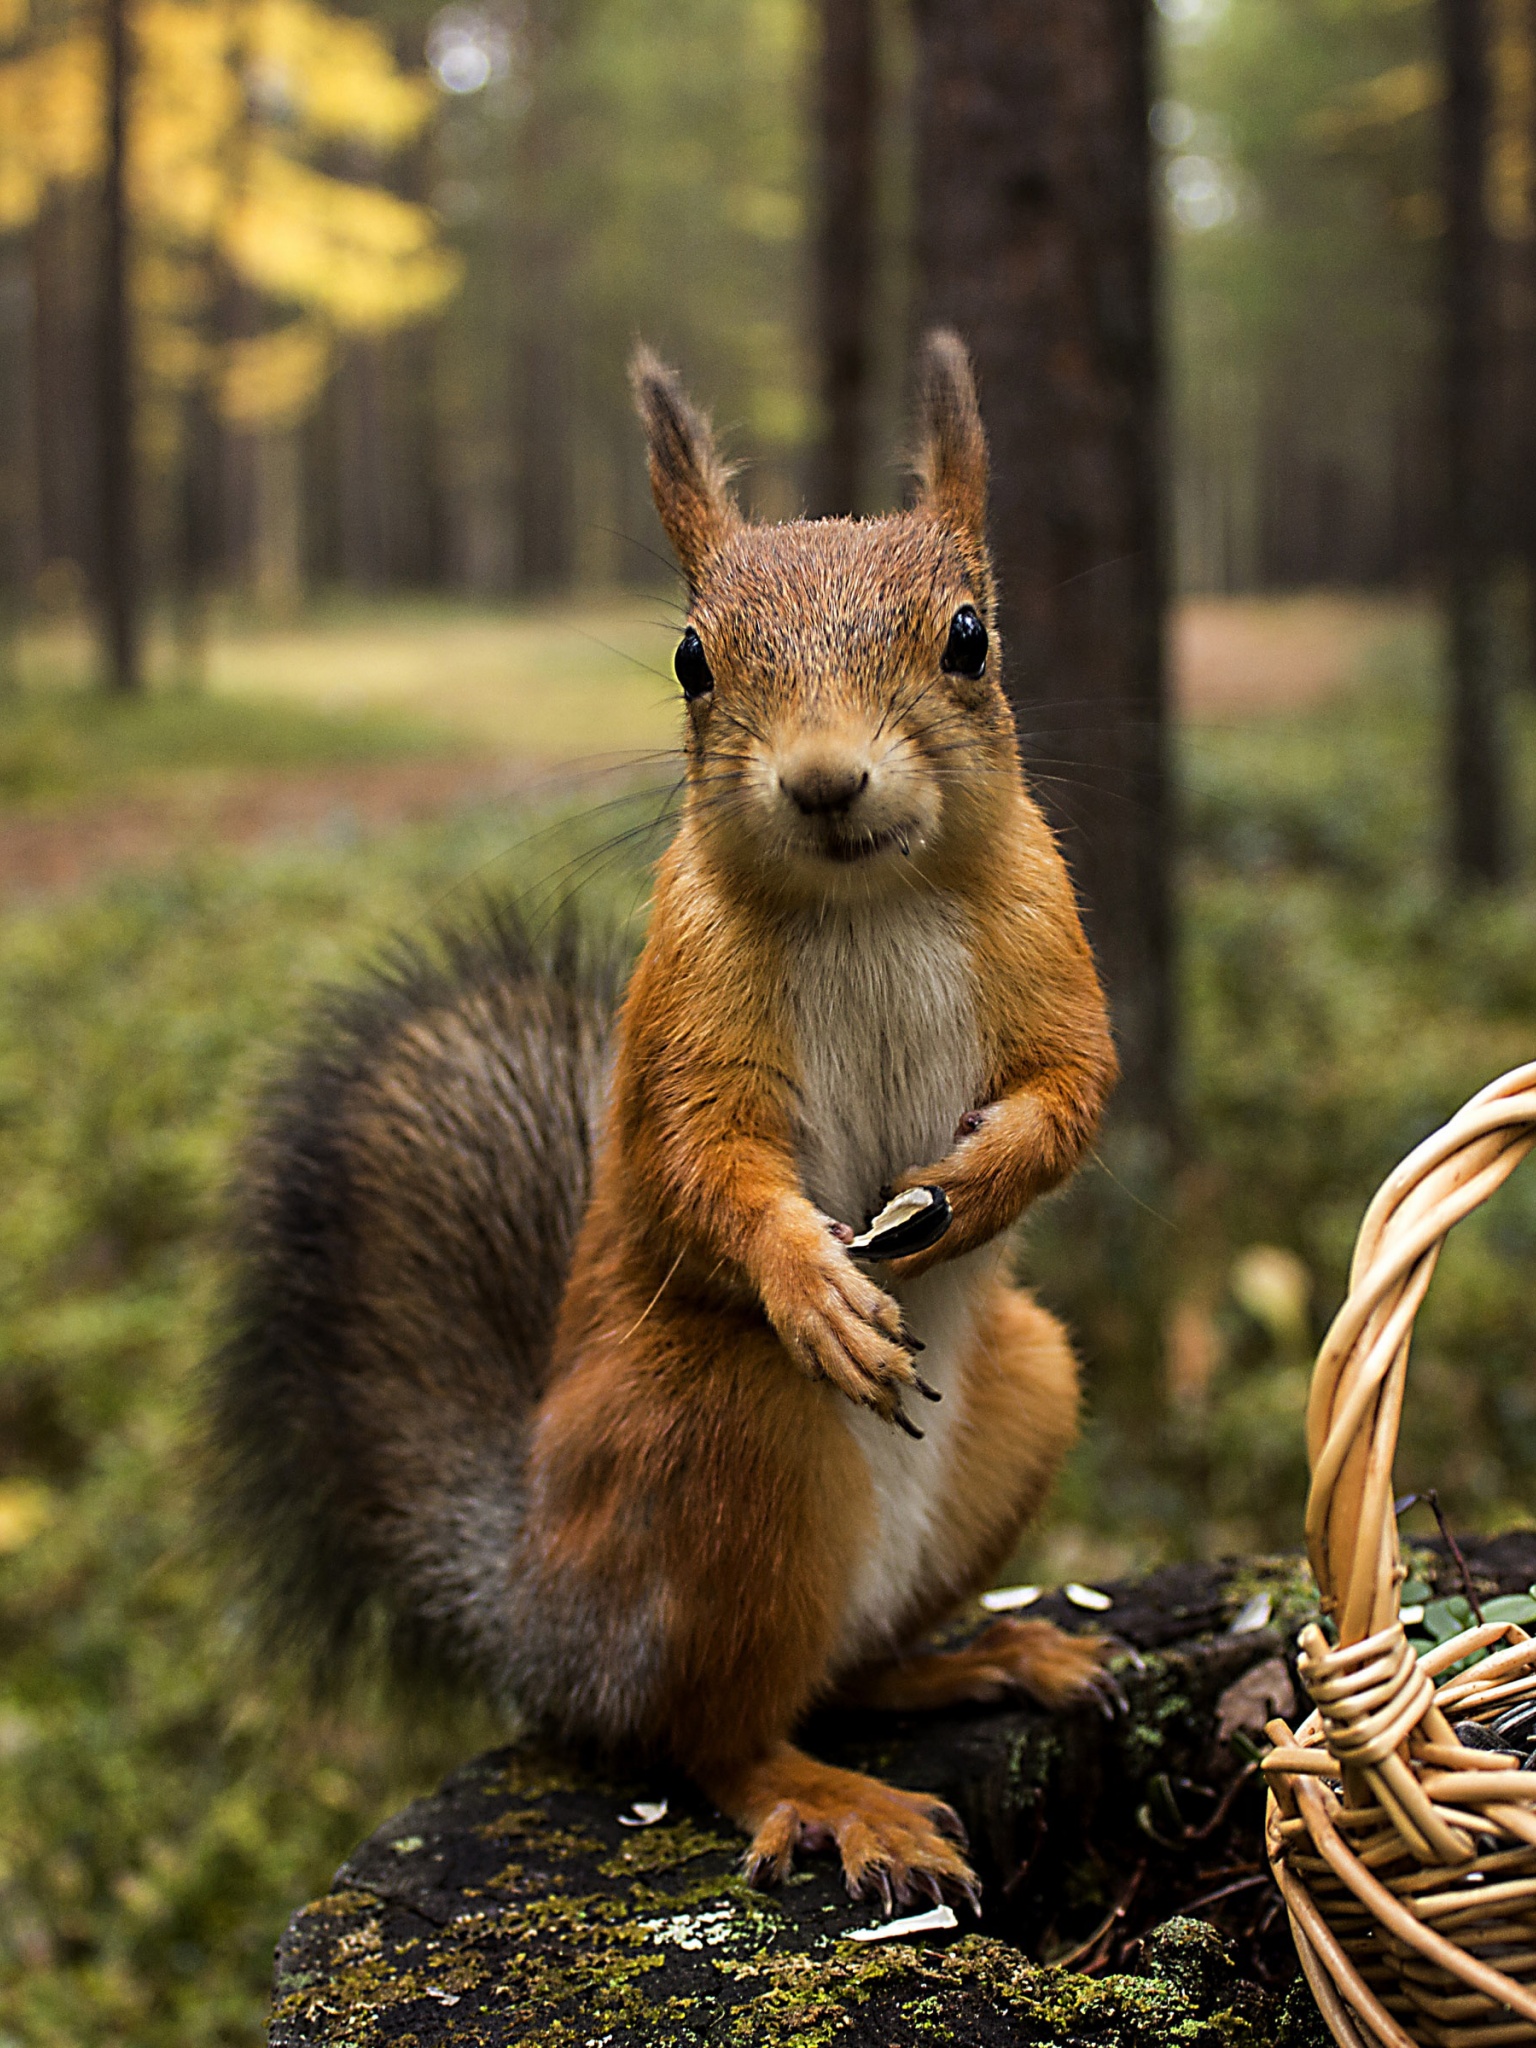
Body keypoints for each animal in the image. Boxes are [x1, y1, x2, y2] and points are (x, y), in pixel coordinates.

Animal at [204, 327, 1122, 1908]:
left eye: (969, 637)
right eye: (694, 658)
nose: (824, 780)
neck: (870, 898)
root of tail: (541, 1618)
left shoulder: (1049, 946)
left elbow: (1073, 1090)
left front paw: (972, 1188)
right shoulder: (687, 1012)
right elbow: (704, 1164)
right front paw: (816, 1282)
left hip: (1027, 1391)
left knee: (842, 1671)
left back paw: (985, 1657)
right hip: (718, 1438)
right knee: (712, 1733)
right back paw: (836, 1797)